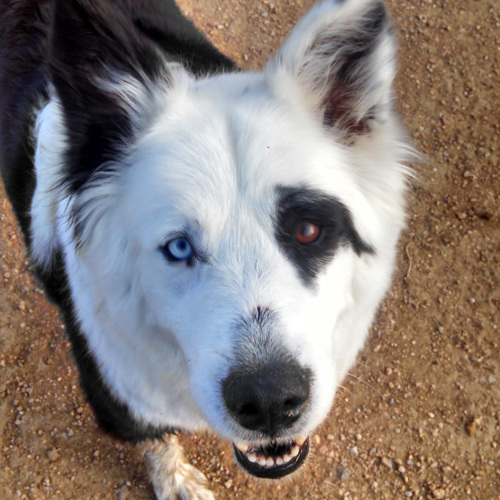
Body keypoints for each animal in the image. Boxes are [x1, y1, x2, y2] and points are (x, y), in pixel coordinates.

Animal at [0, 0, 410, 498]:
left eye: (308, 230)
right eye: (179, 247)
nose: (270, 400)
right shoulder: (116, 396)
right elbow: (156, 440)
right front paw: (176, 481)